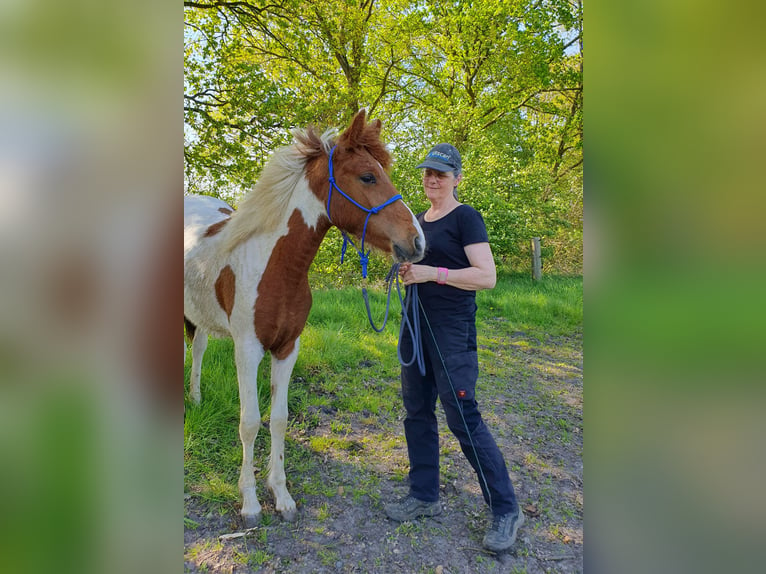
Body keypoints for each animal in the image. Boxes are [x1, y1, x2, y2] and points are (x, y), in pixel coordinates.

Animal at [184, 110, 428, 528]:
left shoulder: (287, 348)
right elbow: (250, 422)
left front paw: (281, 495)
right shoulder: (247, 350)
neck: (275, 266)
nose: (417, 242)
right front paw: (250, 502)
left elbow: (279, 418)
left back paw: (197, 400)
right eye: (368, 176)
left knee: (198, 350)